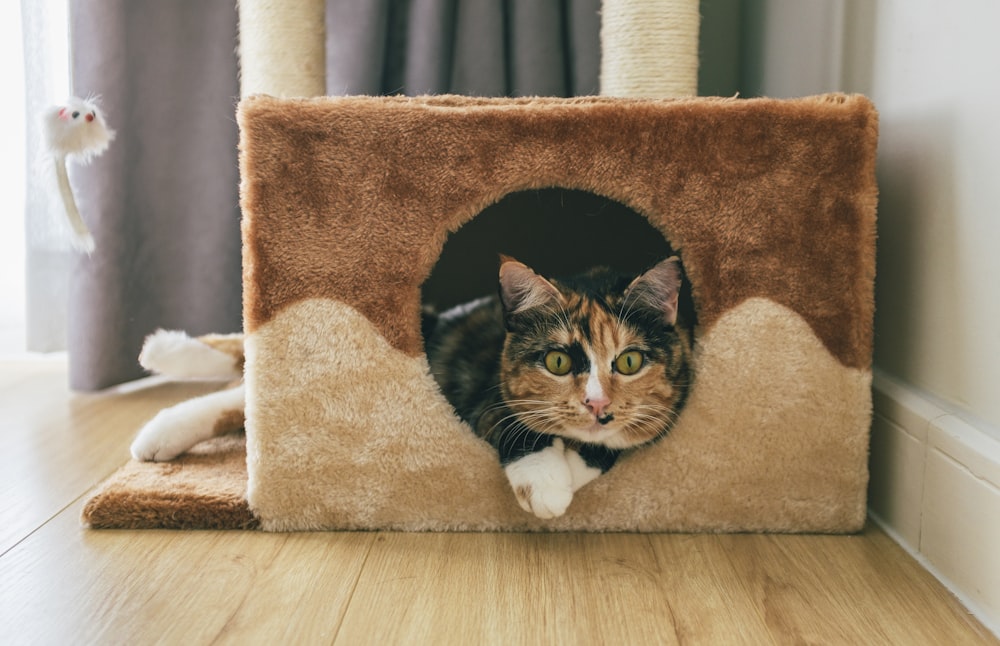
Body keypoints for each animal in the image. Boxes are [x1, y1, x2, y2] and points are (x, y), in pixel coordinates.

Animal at [424, 258, 696, 520]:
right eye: (558, 362)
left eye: (630, 362)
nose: (597, 403)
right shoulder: (485, 400)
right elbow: (516, 423)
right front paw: (544, 484)